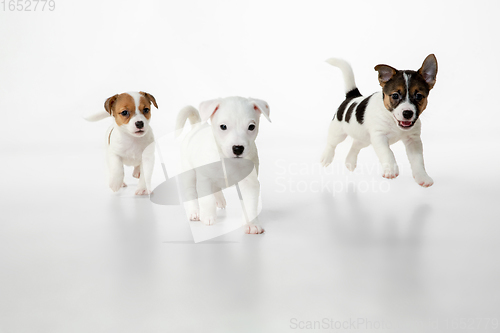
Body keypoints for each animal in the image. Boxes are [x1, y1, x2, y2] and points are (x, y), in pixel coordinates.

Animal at [175, 96, 272, 233]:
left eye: (251, 127)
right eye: (223, 126)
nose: (238, 148)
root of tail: (197, 125)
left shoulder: (250, 183)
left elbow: (250, 203)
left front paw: (252, 224)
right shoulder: (205, 180)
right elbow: (207, 200)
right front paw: (208, 217)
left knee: (216, 188)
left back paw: (220, 199)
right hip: (189, 173)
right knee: (191, 192)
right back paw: (195, 212)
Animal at [320, 54, 438, 187]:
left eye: (419, 96)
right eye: (395, 95)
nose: (408, 113)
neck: (393, 121)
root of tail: (352, 96)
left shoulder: (413, 140)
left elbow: (418, 160)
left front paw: (422, 176)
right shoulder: (379, 137)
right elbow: (387, 152)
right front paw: (391, 169)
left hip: (364, 139)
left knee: (355, 145)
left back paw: (350, 162)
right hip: (338, 132)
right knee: (331, 143)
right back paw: (326, 157)